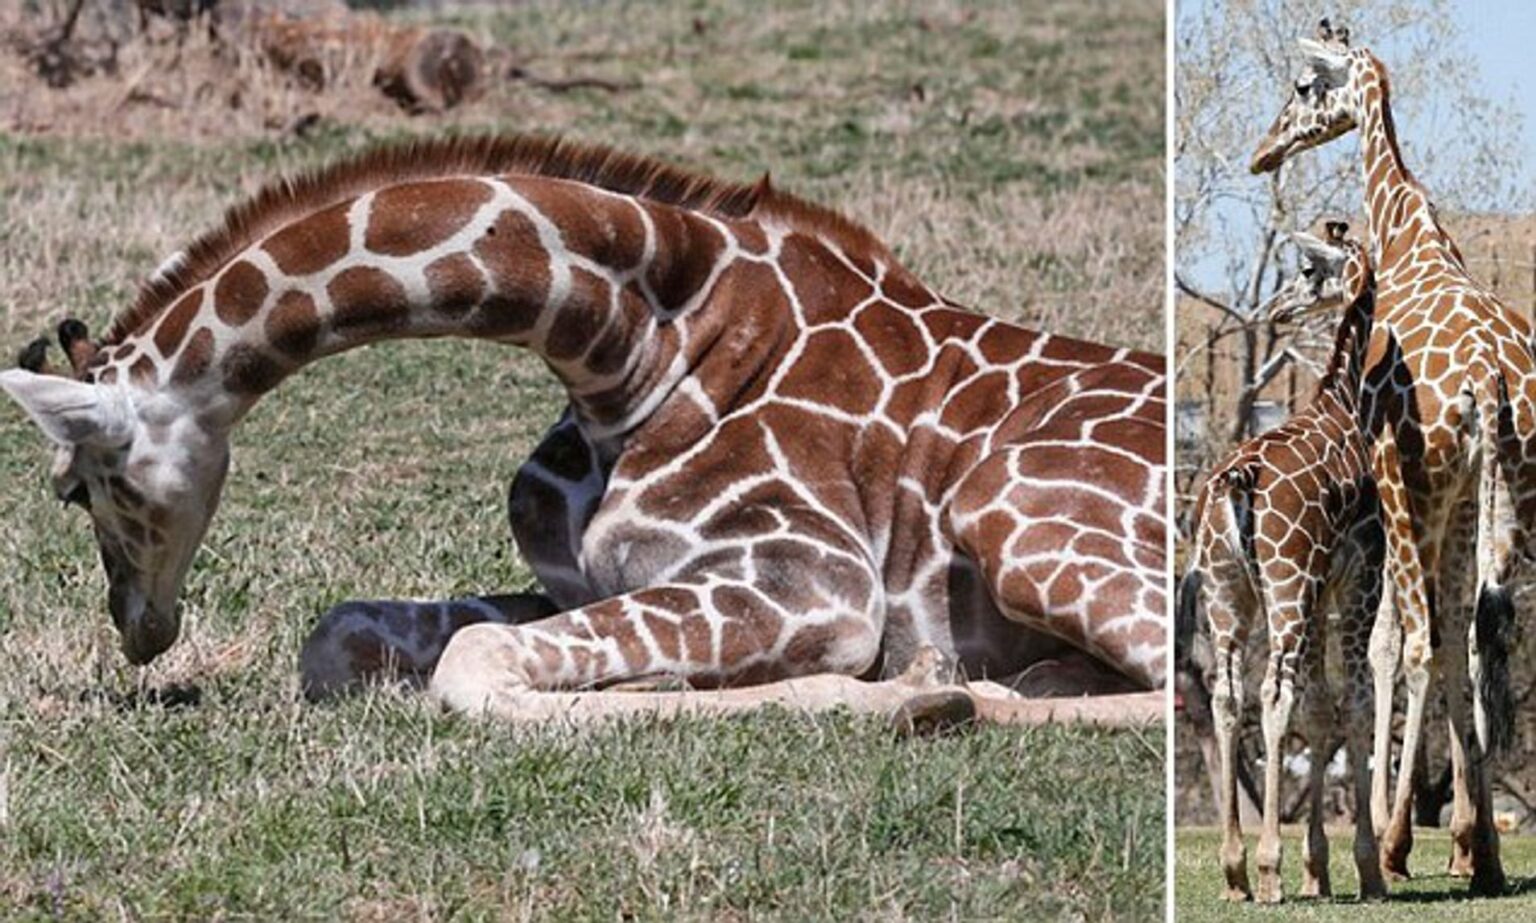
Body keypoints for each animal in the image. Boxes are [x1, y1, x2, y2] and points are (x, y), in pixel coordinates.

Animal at [0, 135, 1167, 727]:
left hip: (1013, 513)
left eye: (76, 486)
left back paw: (946, 694)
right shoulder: (579, 579)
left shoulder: (812, 585)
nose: (140, 627)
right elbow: (341, 634)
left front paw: (886, 689)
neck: (631, 351)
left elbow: (474, 668)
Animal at [1179, 223, 1384, 902]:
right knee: (1272, 695)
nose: (1277, 310)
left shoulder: (1319, 592)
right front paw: (1366, 869)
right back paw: (1267, 868)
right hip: (1285, 587)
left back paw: (1236, 870)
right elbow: (1356, 701)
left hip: (1227, 590)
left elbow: (1320, 709)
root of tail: (1235, 479)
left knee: (1226, 696)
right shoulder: (1359, 578)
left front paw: (1319, 869)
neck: (1343, 402)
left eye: (1308, 270)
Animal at [1250, 20, 1536, 894]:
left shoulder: (1398, 484)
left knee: (1417, 641)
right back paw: (1477, 852)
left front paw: (1390, 833)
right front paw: (1461, 837)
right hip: (1511, 485)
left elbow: (1390, 642)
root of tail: (1489, 377)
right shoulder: (1456, 490)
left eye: (1304, 85)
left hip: (1424, 487)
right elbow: (1454, 633)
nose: (1264, 151)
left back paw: (1406, 840)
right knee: (1481, 631)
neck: (1410, 231)